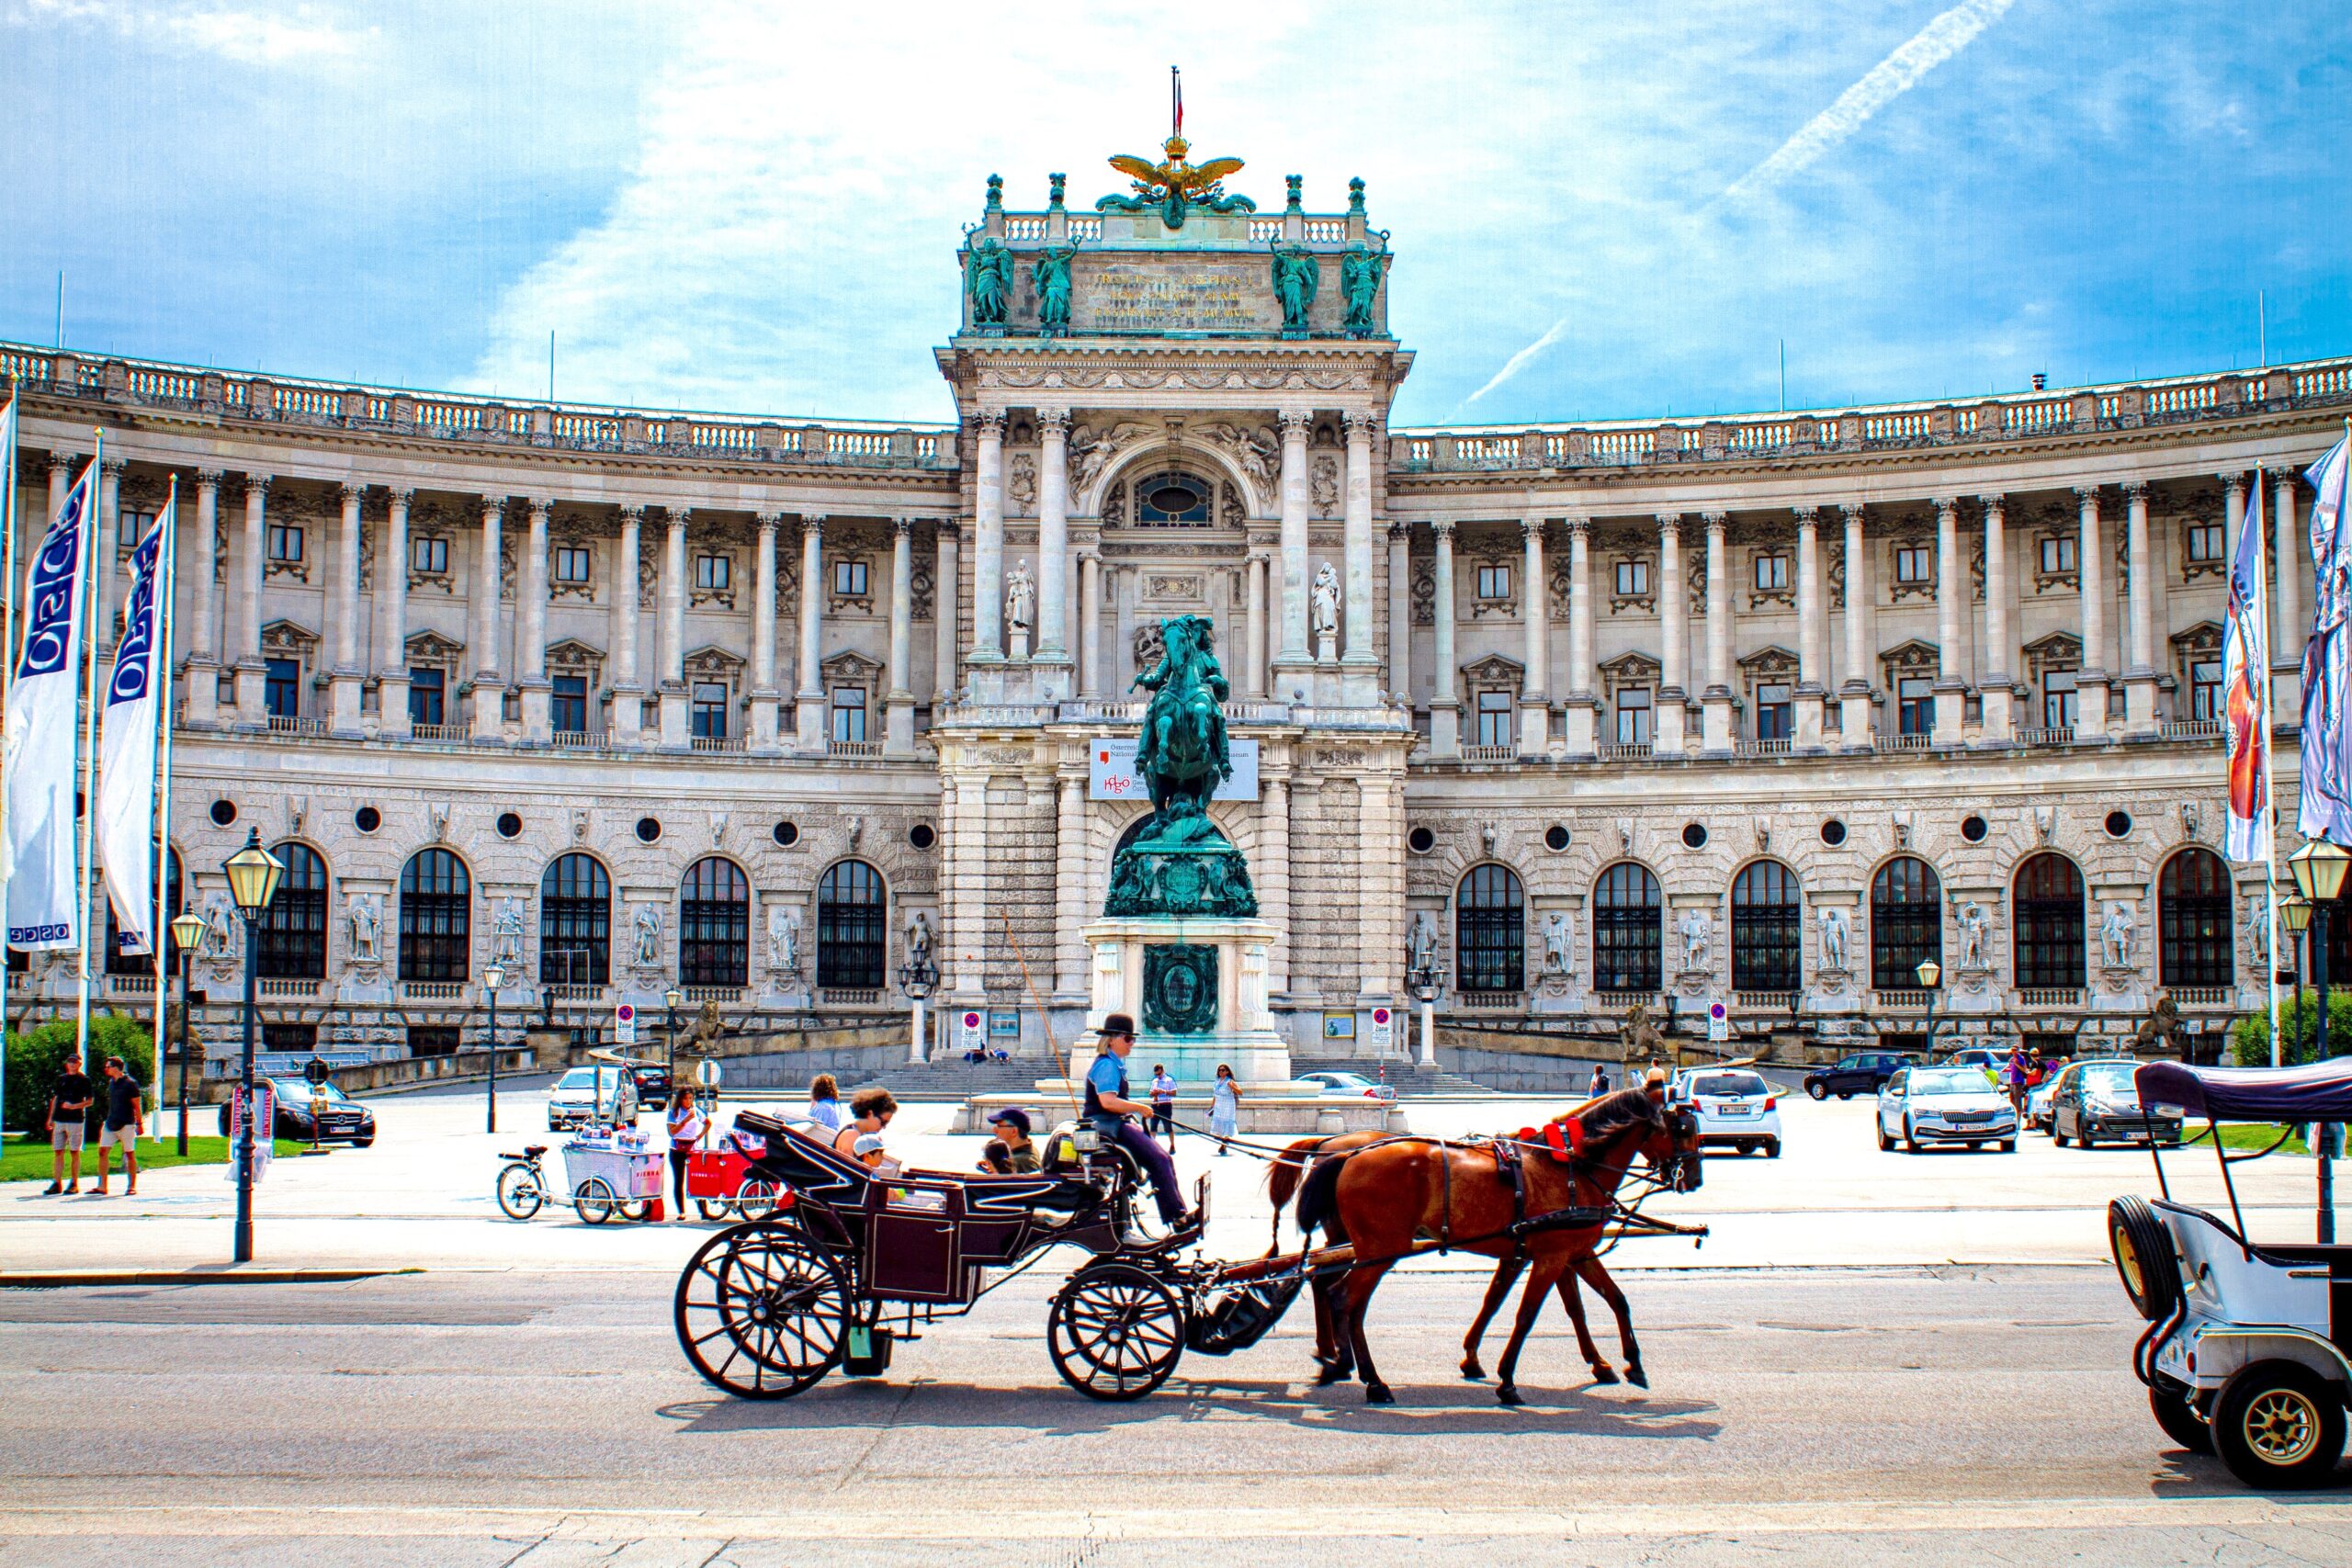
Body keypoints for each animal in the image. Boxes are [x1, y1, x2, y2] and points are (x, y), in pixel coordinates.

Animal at [1298, 1090, 1702, 1410]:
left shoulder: (1568, 1253)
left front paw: (1629, 1364)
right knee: (1343, 1298)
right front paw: (1507, 1380)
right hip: (1380, 1249)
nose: (1695, 1179)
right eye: (1683, 1129)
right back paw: (1366, 1377)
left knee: (1337, 1294)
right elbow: (1527, 1316)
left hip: (1366, 1248)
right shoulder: (1552, 1258)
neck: (1569, 1167)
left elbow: (1607, 1301)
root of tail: (1347, 1154)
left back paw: (1342, 1364)